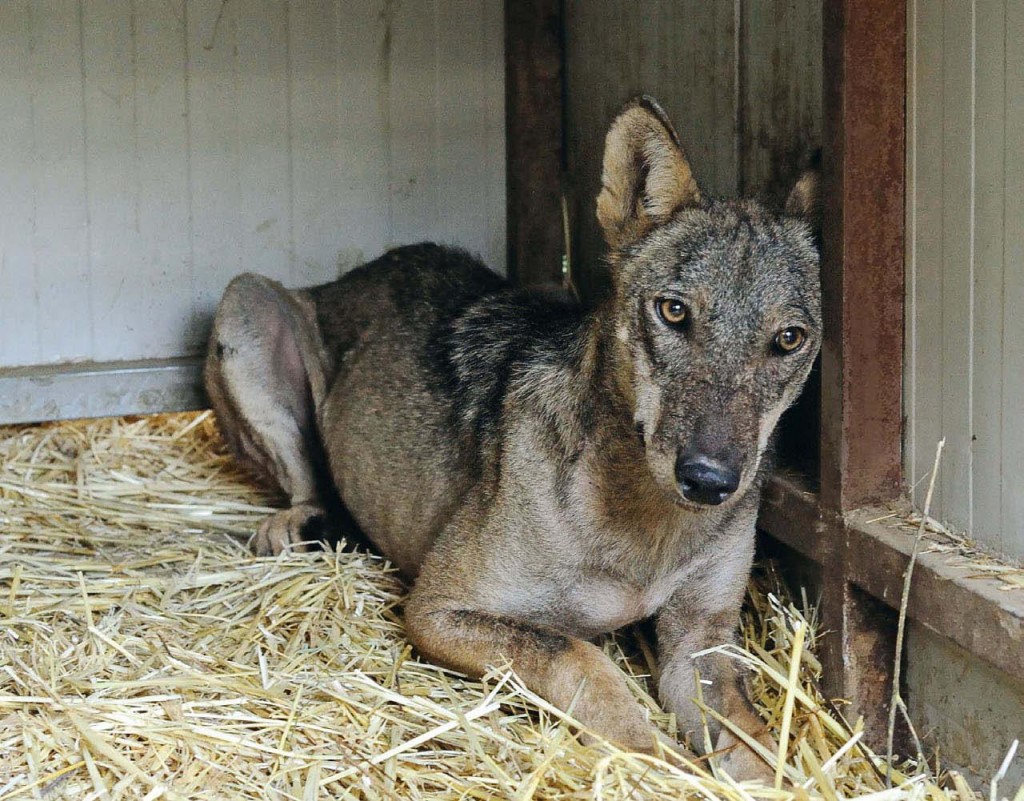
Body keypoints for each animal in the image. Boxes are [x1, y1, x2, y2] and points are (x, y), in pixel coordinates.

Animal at [203, 97, 819, 782]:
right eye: (674, 311)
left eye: (788, 339)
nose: (709, 480)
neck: (646, 526)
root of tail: (359, 271)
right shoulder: (438, 611)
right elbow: (581, 659)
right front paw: (659, 768)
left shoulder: (701, 643)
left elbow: (757, 744)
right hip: (246, 303)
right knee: (306, 485)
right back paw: (296, 525)